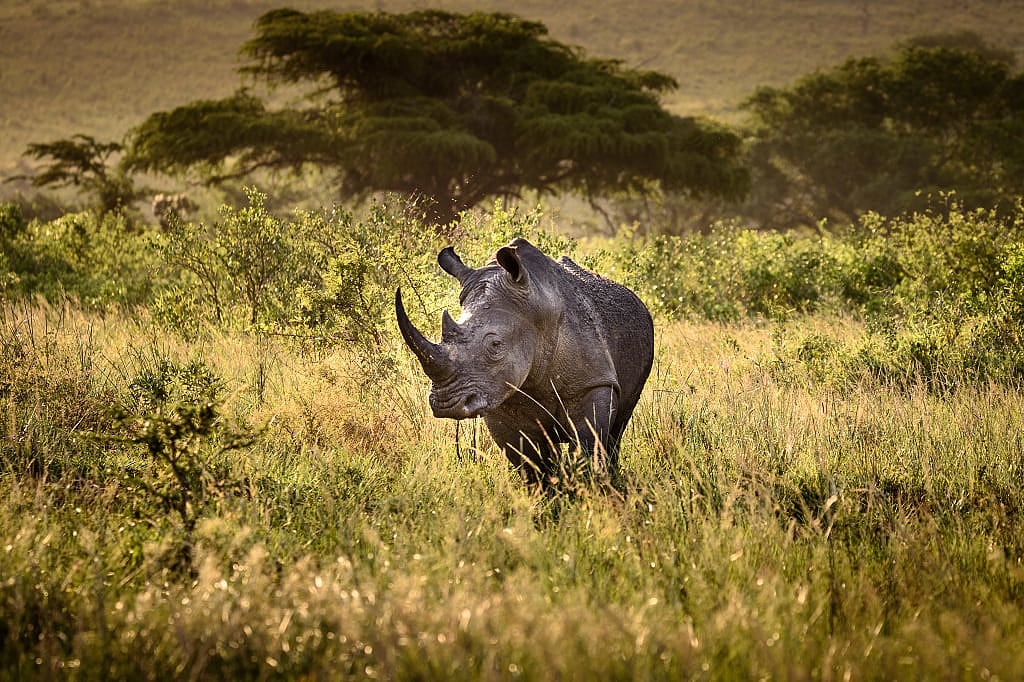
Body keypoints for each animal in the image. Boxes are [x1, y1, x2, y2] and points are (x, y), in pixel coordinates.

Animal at [395, 238, 654, 487]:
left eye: (495, 345)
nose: (445, 405)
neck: (535, 314)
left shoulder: (593, 383)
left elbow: (587, 448)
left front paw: (587, 489)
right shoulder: (498, 395)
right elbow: (531, 462)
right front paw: (548, 496)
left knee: (618, 426)